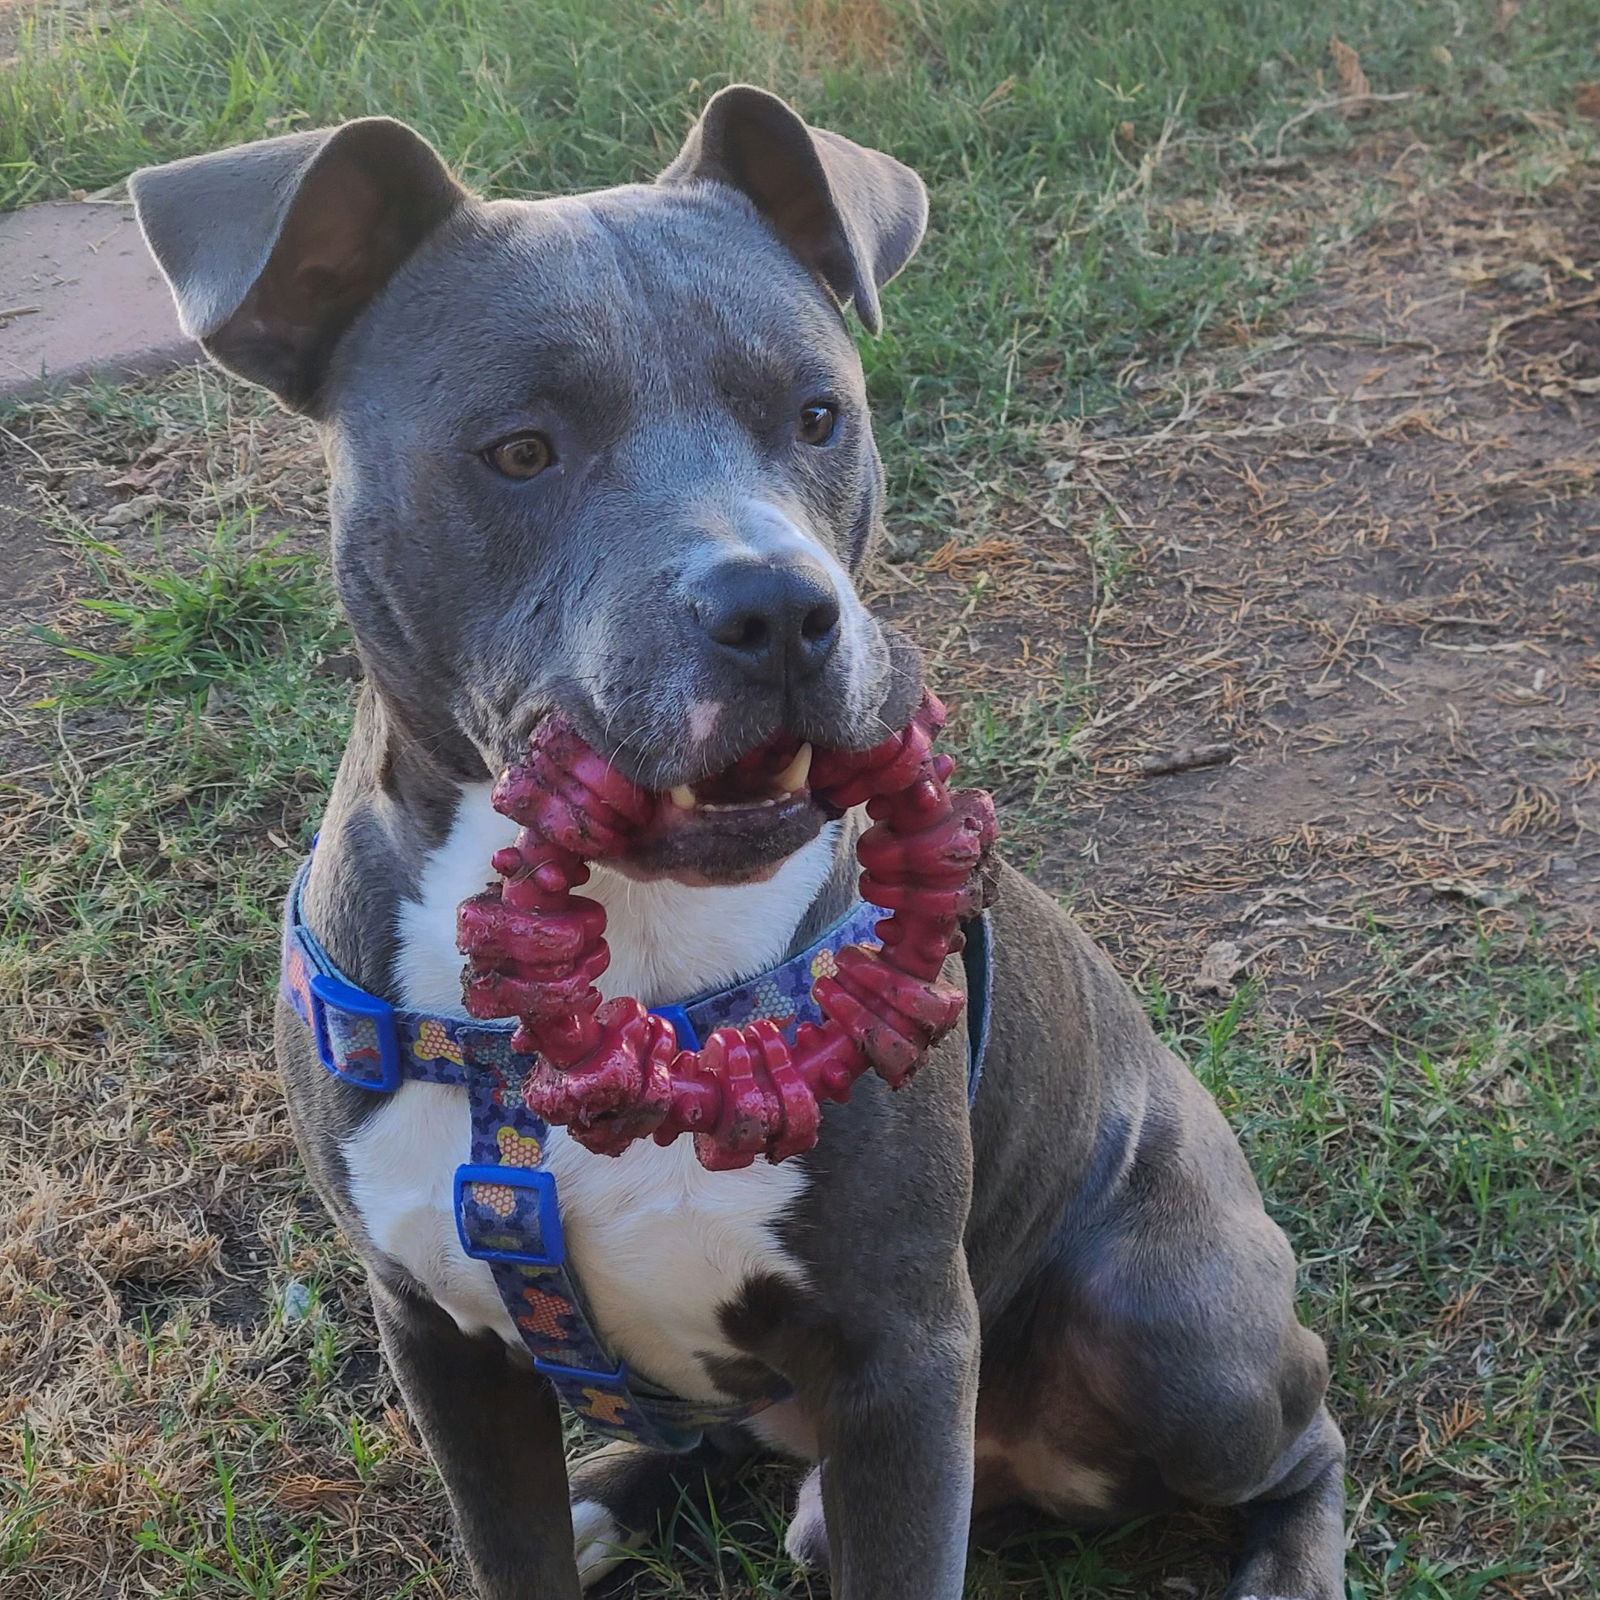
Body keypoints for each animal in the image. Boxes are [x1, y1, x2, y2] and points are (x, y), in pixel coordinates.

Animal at [128, 87, 1350, 1600]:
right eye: (519, 449)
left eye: (819, 415)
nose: (778, 607)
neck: (621, 942)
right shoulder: (438, 1338)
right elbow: (512, 1550)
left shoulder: (902, 1353)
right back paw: (618, 1491)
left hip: (1174, 1331)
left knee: (1299, 1435)